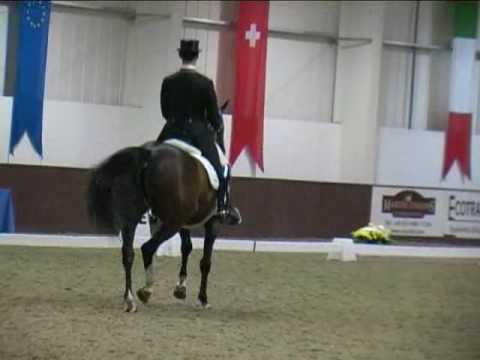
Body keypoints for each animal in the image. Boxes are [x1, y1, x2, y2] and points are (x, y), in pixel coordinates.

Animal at [88, 105, 234, 310]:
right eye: (219, 127)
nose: (222, 146)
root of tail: (149, 154)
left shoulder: (185, 224)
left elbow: (186, 248)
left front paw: (181, 288)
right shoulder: (213, 223)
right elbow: (205, 261)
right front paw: (203, 298)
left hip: (134, 218)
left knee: (128, 253)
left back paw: (130, 299)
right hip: (172, 222)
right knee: (147, 248)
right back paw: (146, 290)